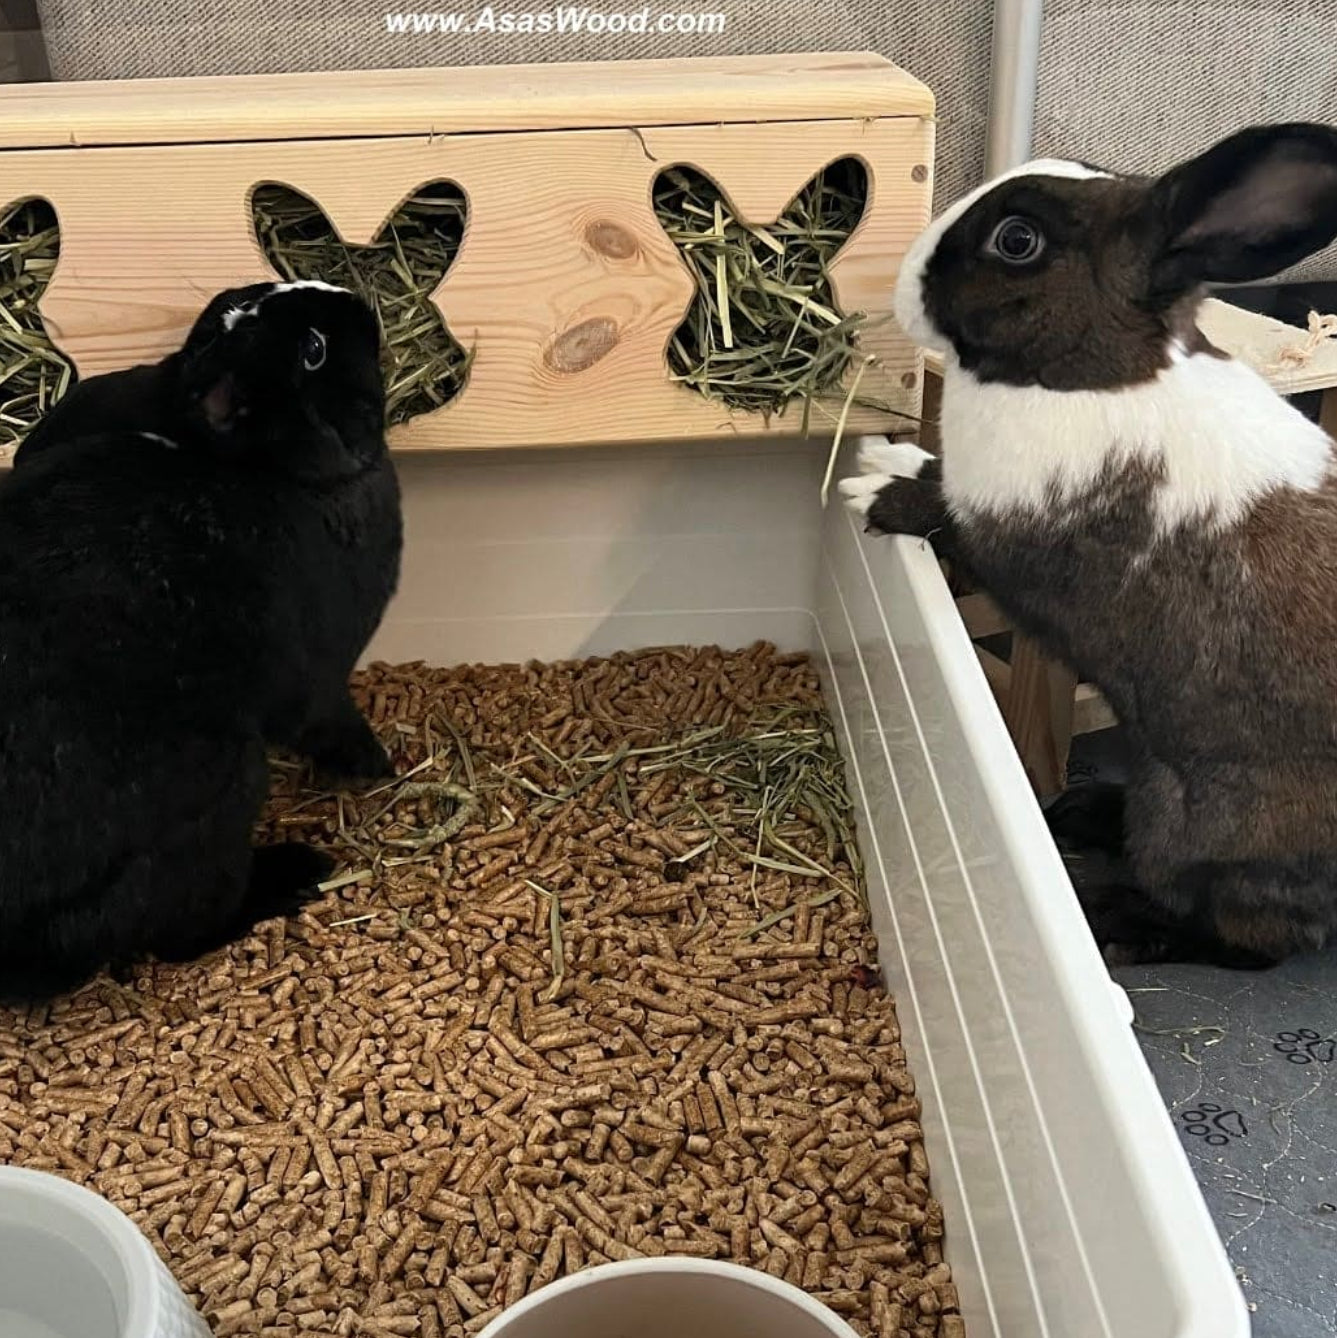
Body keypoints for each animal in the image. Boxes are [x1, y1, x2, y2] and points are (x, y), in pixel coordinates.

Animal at [0, 278, 401, 1002]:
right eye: (313, 350)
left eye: (233, 301)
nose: (350, 297)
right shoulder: (319, 679)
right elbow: (330, 719)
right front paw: (380, 765)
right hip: (222, 794)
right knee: (184, 931)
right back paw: (294, 873)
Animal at [840, 122, 1337, 968]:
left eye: (1016, 241)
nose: (902, 280)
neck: (1083, 378)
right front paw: (889, 457)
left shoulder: (1007, 533)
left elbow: (945, 516)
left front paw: (871, 493)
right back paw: (1081, 810)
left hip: (1203, 827)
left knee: (1247, 938)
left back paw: (1113, 913)